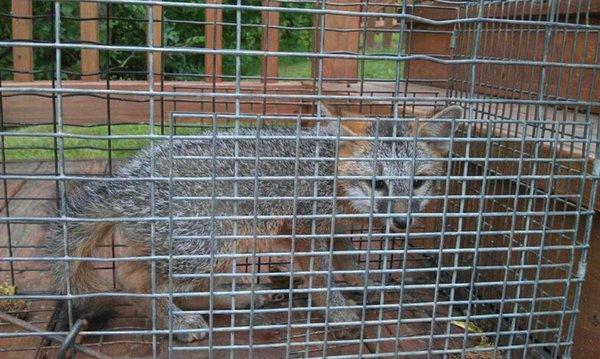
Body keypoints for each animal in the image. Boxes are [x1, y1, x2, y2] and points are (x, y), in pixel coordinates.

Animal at [45, 104, 464, 344]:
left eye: (418, 182)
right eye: (377, 183)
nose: (402, 220)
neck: (330, 171)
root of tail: (125, 177)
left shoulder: (333, 232)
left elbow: (347, 262)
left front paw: (368, 282)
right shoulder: (302, 234)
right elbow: (322, 279)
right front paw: (340, 314)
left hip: (214, 250)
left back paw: (240, 296)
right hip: (209, 246)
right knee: (140, 284)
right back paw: (176, 323)